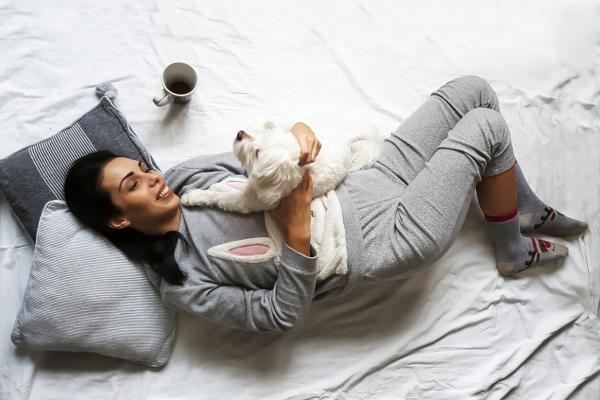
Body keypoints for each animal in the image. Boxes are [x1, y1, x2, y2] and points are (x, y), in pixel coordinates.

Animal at [179, 120, 384, 214]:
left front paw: (194, 196)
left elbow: (221, 197)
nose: (240, 133)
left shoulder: (246, 202)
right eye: (260, 133)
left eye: (257, 153)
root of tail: (346, 141)